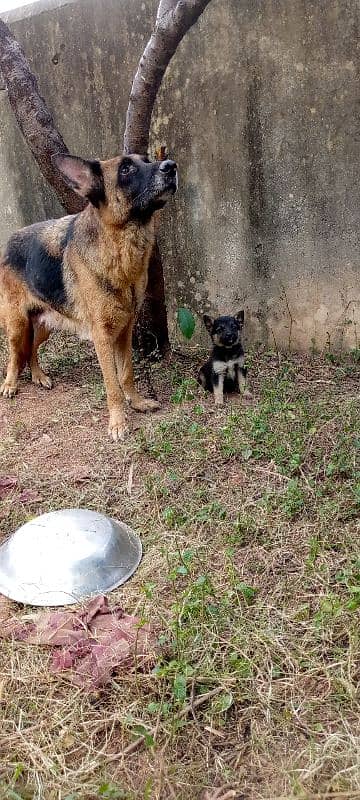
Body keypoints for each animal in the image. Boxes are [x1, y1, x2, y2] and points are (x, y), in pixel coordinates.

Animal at [0, 153, 178, 440]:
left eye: (146, 160)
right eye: (126, 169)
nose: (171, 166)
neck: (119, 243)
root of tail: (9, 241)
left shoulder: (125, 330)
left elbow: (127, 373)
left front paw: (137, 402)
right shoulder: (102, 336)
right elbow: (112, 384)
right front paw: (118, 423)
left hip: (44, 325)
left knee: (31, 351)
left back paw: (39, 376)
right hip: (17, 325)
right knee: (16, 354)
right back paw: (9, 383)